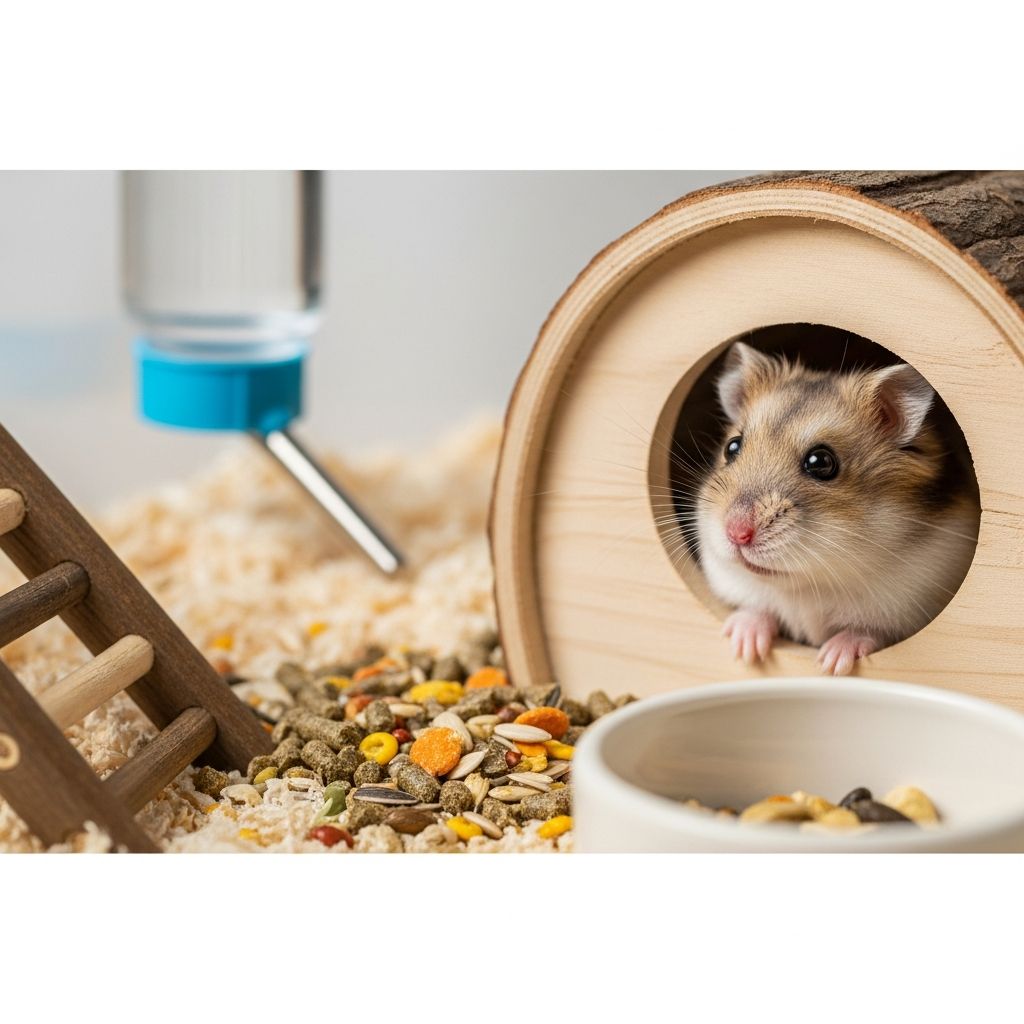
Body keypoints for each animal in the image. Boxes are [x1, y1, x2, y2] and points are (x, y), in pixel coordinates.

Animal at [695, 341, 979, 675]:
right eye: (732, 447)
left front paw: (831, 663)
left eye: (821, 463)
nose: (737, 533)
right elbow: (756, 608)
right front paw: (744, 646)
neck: (807, 585)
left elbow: (868, 632)